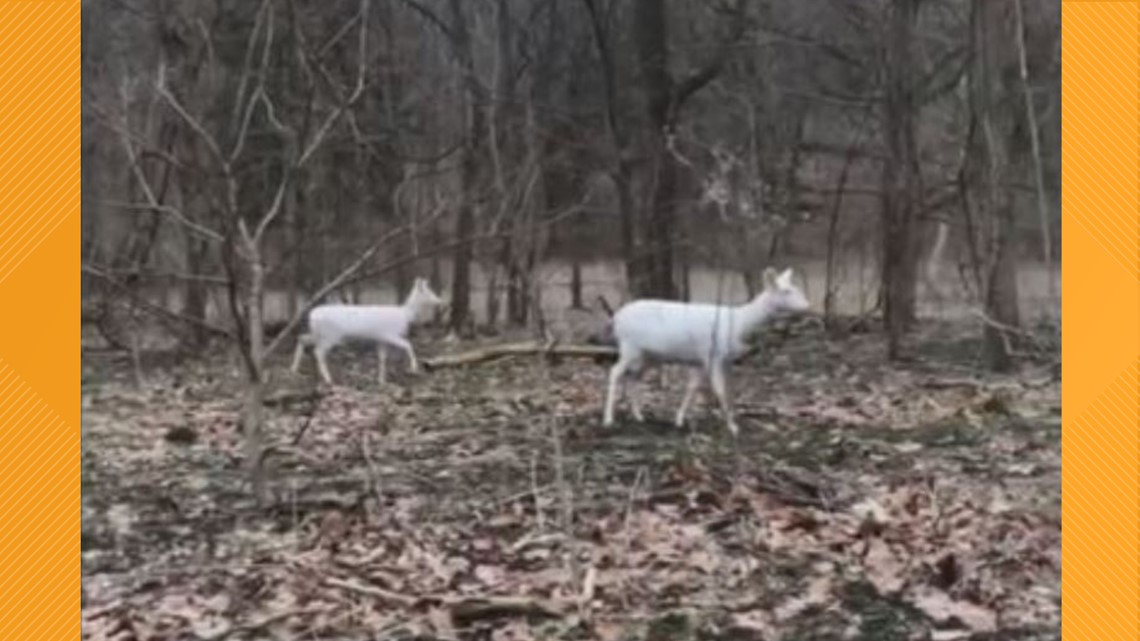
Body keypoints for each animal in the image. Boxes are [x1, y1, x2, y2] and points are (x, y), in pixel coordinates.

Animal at [291, 278, 444, 385]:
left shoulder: (381, 339)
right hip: (330, 335)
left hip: (319, 334)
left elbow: (382, 358)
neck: (406, 314)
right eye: (428, 292)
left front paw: (381, 381)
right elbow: (408, 344)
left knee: (301, 338)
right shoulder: (389, 334)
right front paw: (414, 368)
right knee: (318, 352)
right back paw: (328, 379)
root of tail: (311, 315)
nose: (439, 301)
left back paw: (294, 369)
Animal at [602, 267, 811, 436]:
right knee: (614, 371)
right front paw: (732, 427)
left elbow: (696, 388)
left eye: (796, 288)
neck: (739, 324)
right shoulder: (713, 355)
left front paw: (679, 420)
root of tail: (615, 318)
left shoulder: (705, 360)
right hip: (629, 346)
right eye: (786, 291)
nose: (808, 305)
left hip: (647, 355)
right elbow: (720, 390)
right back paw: (608, 419)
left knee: (633, 377)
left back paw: (639, 416)